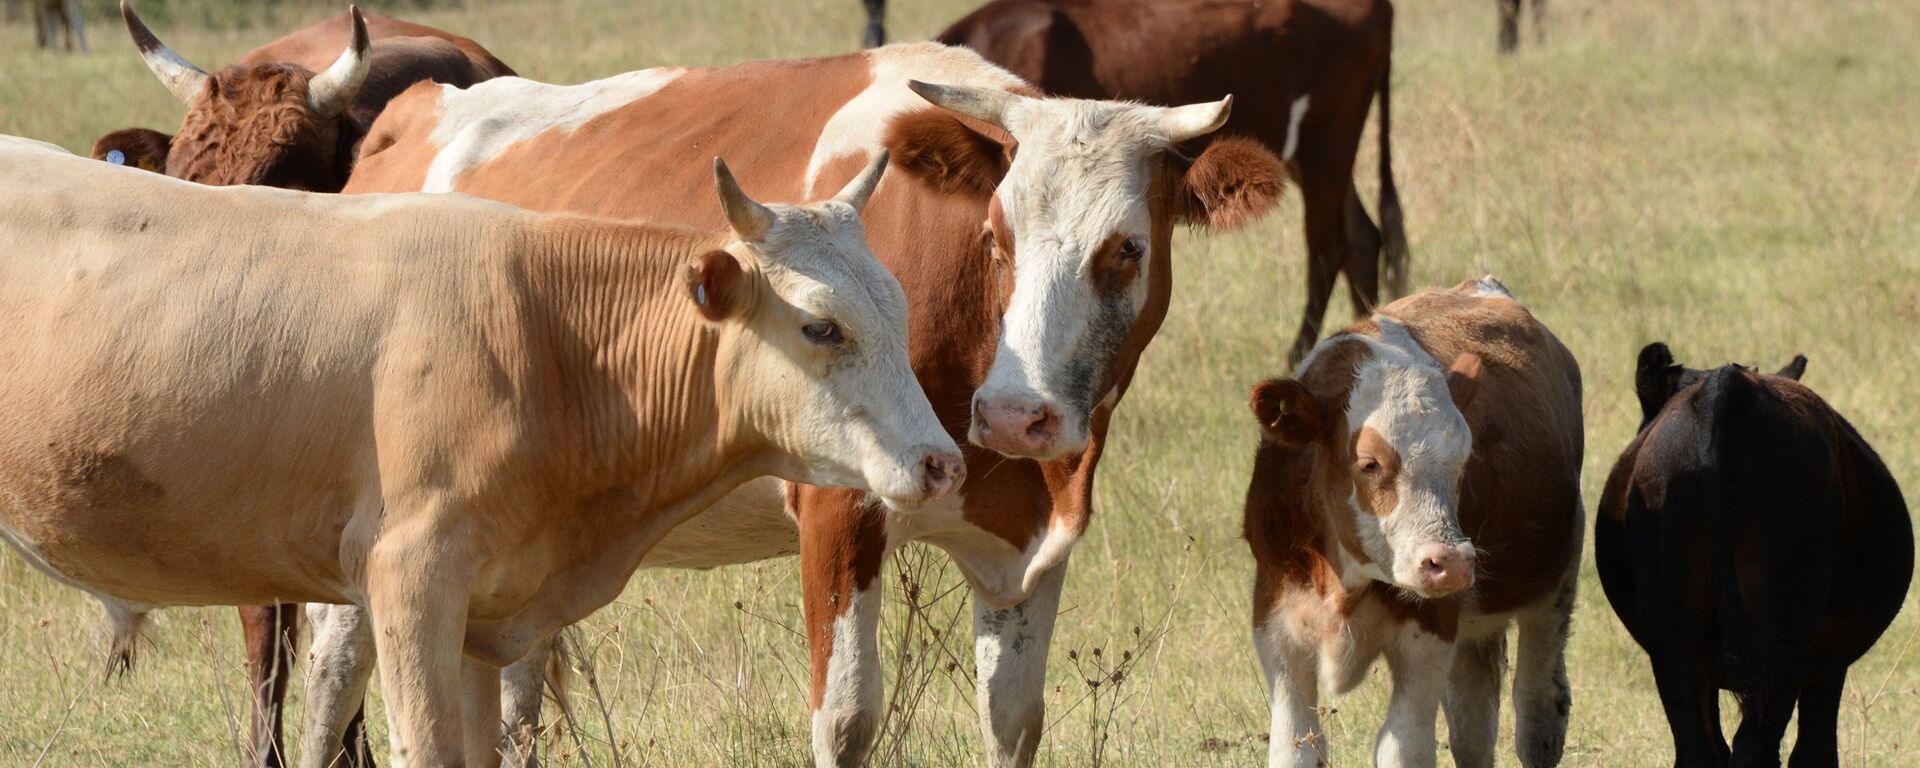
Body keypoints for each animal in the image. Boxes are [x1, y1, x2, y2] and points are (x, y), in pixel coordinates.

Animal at [0, 138, 960, 768]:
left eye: (900, 308)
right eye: (821, 326)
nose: (942, 464)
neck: (550, 337)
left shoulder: (484, 612)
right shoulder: (411, 579)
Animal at [1236, 276, 1582, 768]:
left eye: (1463, 460)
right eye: (1369, 463)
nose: (1451, 562)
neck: (1343, 581)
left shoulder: (1430, 634)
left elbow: (1403, 744)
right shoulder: (1278, 628)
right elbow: (1298, 743)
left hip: (1552, 593)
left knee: (1537, 709)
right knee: (1474, 723)